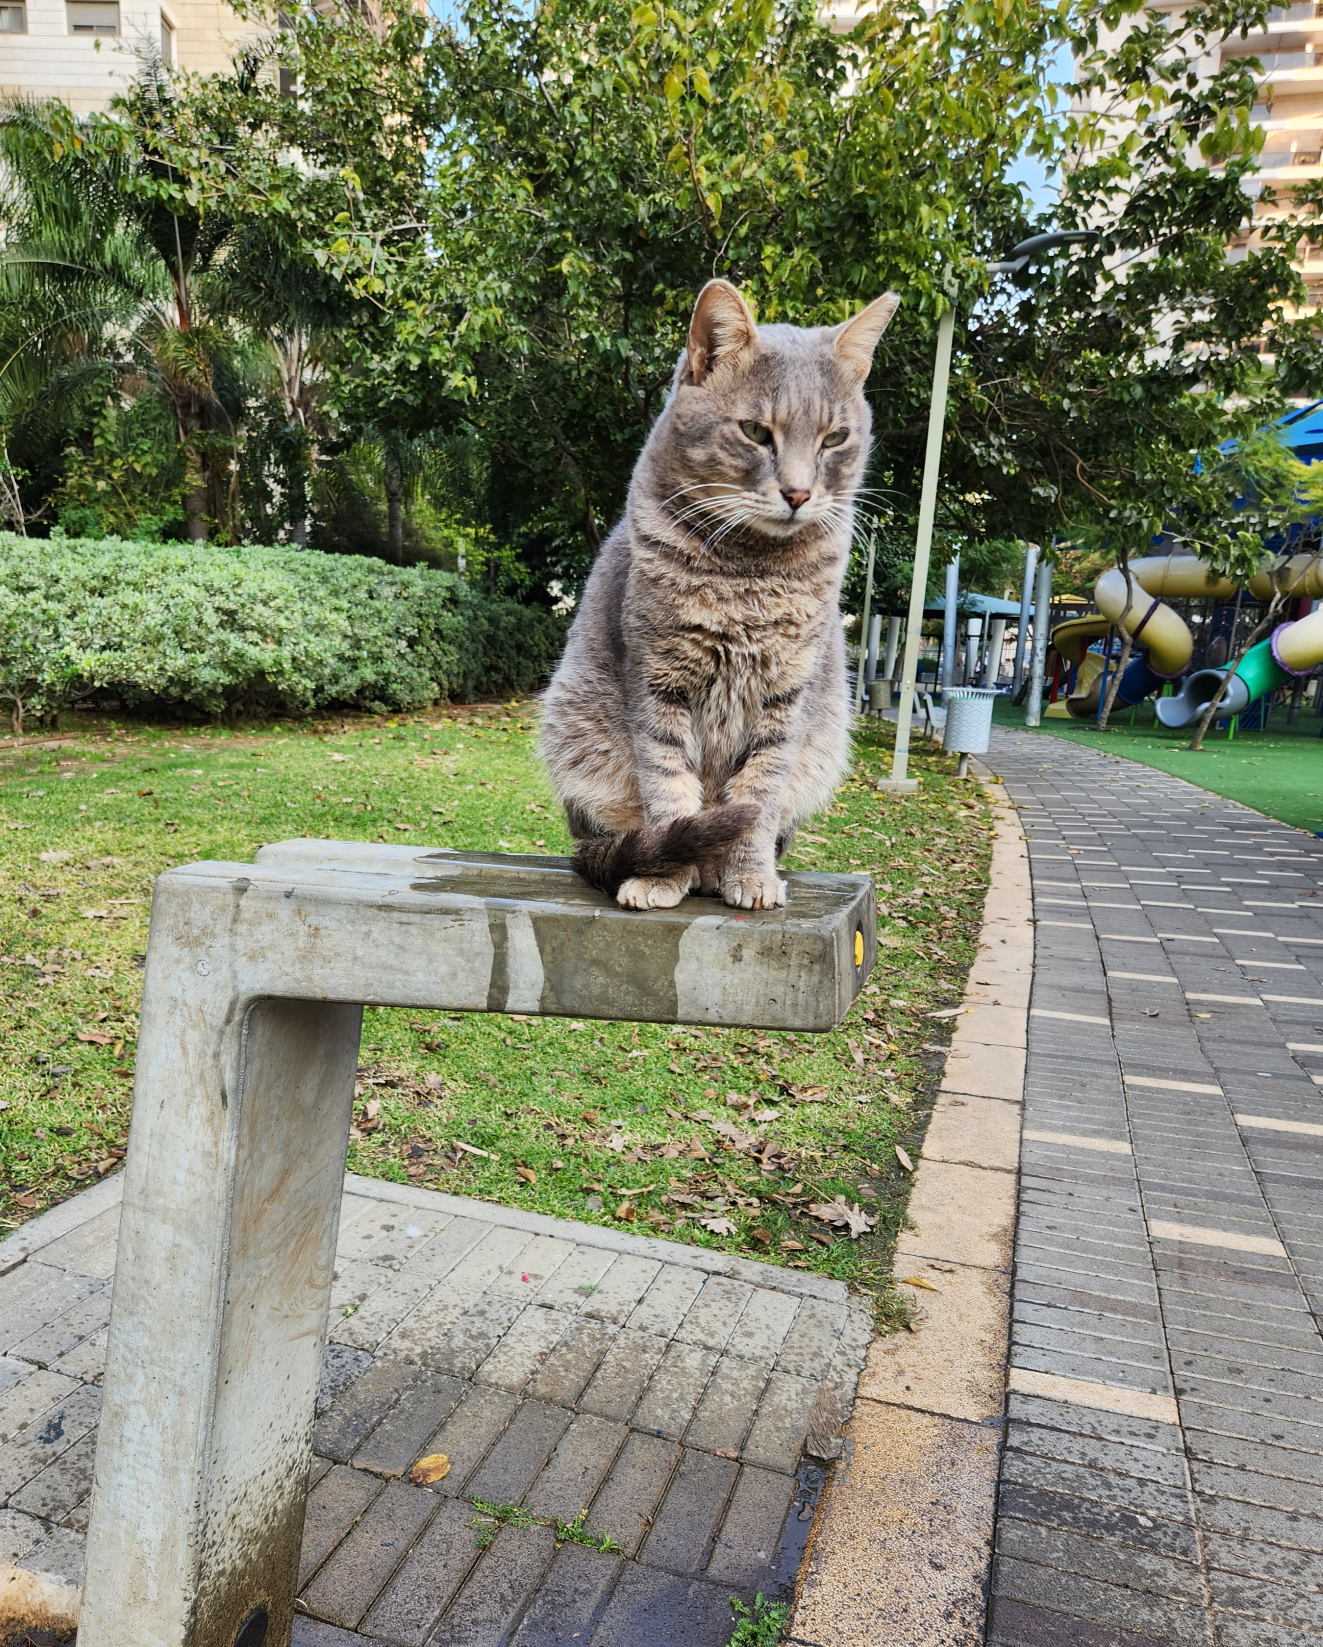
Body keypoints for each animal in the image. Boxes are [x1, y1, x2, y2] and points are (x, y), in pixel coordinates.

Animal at [537, 275, 902, 909]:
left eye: (834, 439)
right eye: (756, 432)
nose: (799, 493)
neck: (749, 574)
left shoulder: (788, 695)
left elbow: (757, 796)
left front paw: (750, 877)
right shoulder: (657, 679)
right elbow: (669, 788)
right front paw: (662, 876)